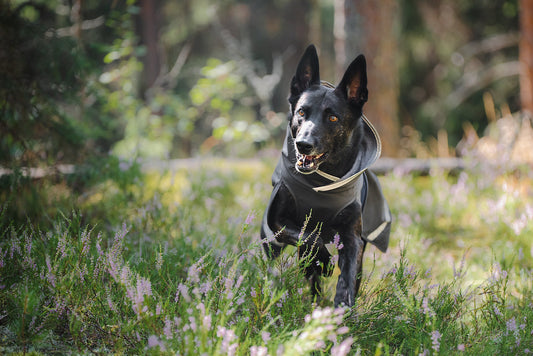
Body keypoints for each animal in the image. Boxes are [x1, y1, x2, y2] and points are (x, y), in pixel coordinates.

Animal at [260, 43, 390, 306]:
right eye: (301, 112)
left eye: (332, 117)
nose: (303, 144)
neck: (320, 183)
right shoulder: (276, 222)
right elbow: (309, 237)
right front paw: (321, 261)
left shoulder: (352, 238)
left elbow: (348, 275)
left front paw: (342, 306)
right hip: (270, 242)